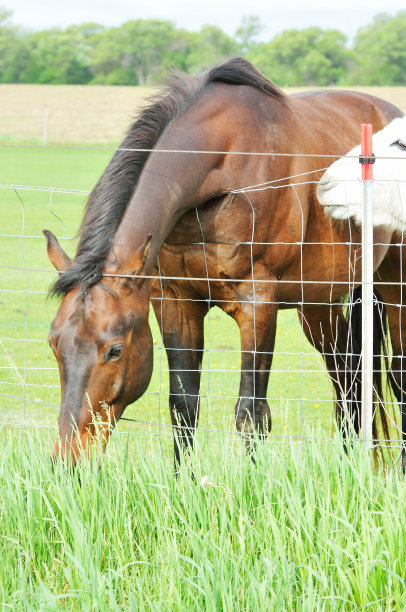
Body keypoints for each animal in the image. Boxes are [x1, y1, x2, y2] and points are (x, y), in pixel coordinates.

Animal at [44, 59, 402, 466]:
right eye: (54, 343)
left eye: (115, 349)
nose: (67, 458)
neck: (224, 168)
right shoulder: (176, 301)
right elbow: (183, 406)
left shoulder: (257, 305)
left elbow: (252, 412)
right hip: (318, 303)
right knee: (346, 375)